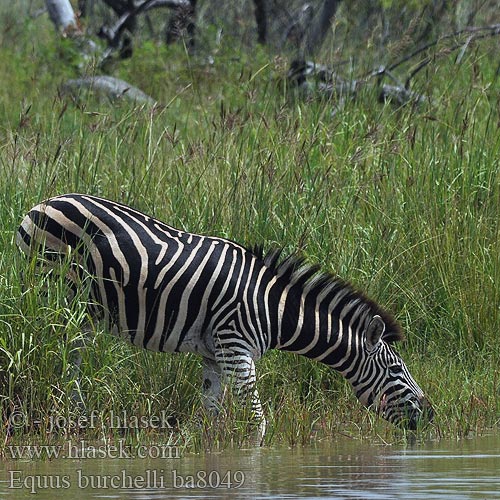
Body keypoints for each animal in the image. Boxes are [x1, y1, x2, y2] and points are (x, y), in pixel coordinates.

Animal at [16, 193, 434, 436]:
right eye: (396, 369)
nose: (430, 416)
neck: (275, 309)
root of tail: (41, 204)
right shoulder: (236, 349)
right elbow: (257, 422)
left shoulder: (213, 357)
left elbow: (212, 417)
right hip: (56, 291)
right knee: (55, 355)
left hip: (76, 310)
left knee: (69, 359)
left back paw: (74, 416)